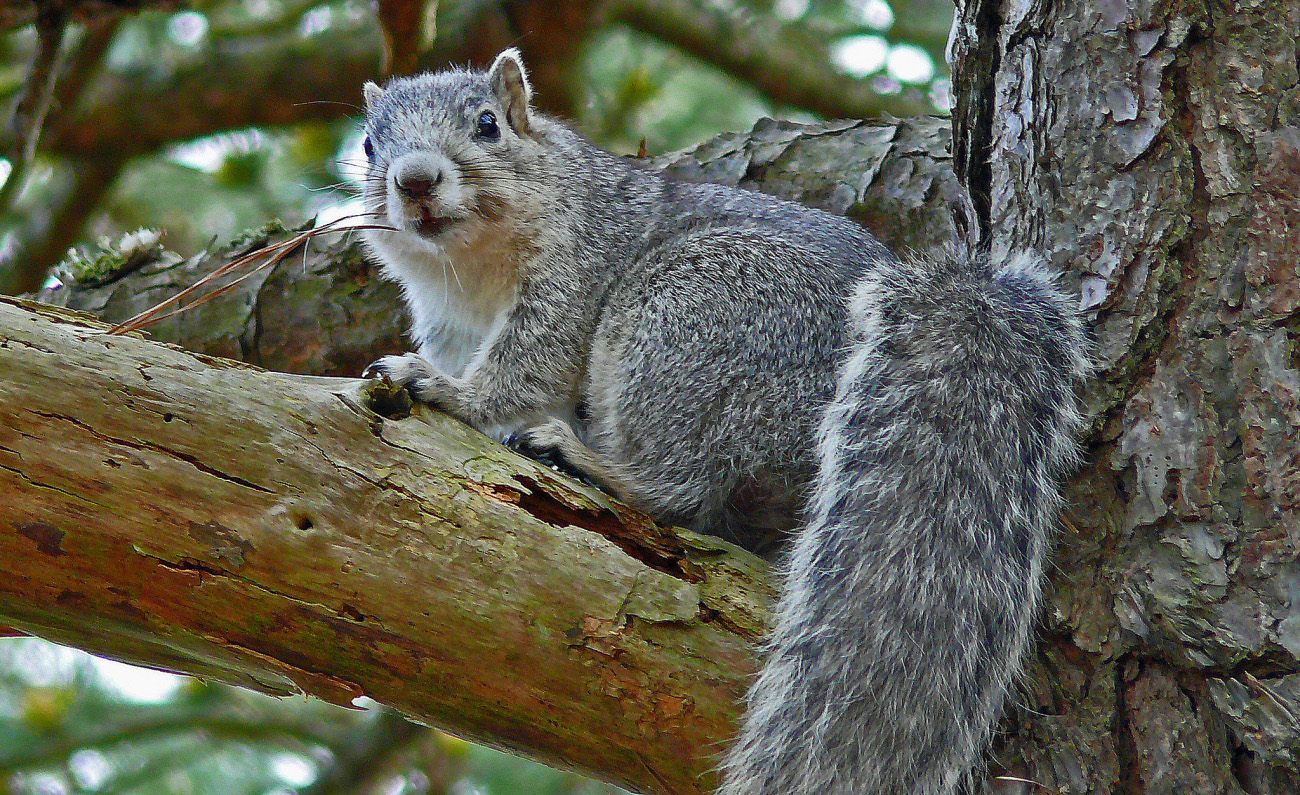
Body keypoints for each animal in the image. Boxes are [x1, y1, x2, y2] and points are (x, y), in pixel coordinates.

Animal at [359, 48, 1090, 795]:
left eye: (487, 125)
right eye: (368, 145)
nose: (414, 179)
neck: (469, 270)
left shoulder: (575, 272)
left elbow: (527, 366)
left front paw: (451, 392)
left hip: (693, 311)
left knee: (682, 487)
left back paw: (594, 461)